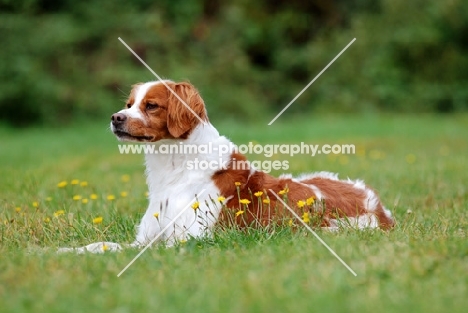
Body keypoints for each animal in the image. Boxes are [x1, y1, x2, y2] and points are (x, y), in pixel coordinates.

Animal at [58, 79, 394, 252]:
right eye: (129, 105)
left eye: (150, 106)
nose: (116, 118)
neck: (174, 169)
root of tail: (379, 207)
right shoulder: (145, 238)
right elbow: (101, 245)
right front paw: (59, 253)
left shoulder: (191, 239)